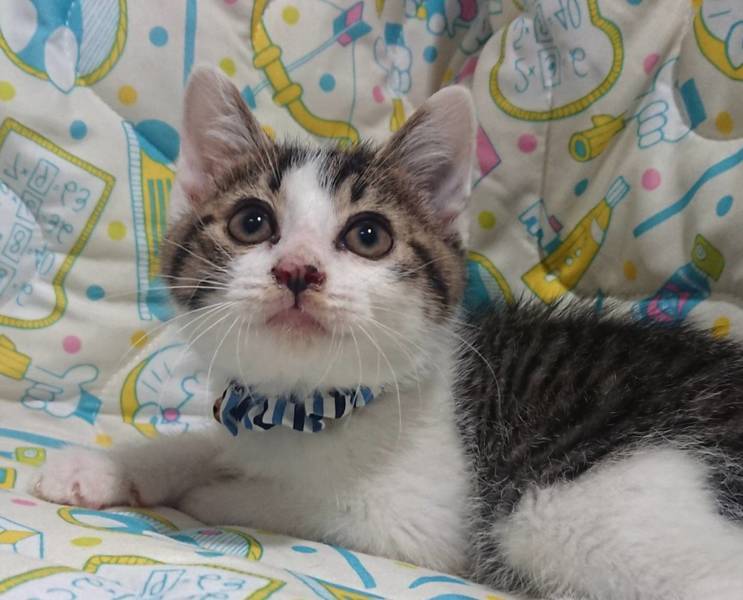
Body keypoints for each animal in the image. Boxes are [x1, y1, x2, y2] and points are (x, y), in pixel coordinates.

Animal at [33, 67, 743, 600]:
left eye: (368, 236)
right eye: (251, 223)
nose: (298, 270)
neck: (306, 409)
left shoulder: (423, 522)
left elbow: (283, 499)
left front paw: (211, 491)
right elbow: (209, 443)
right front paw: (102, 467)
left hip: (565, 513)